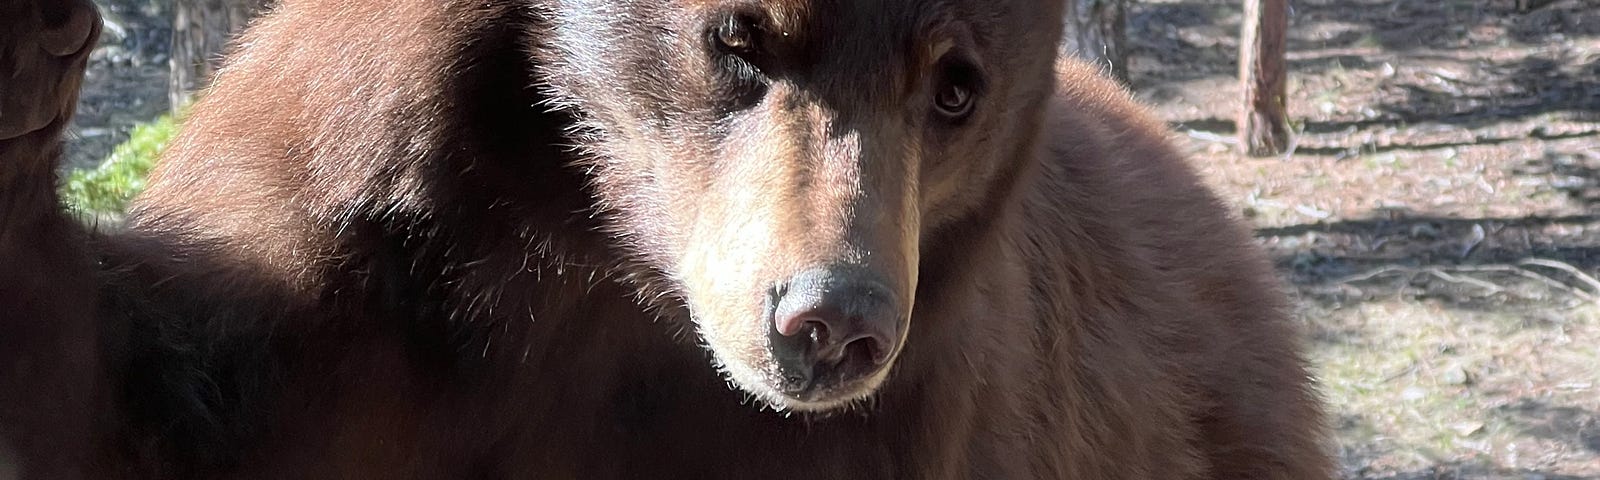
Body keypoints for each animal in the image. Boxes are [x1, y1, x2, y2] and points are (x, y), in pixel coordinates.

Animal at [0, 0, 1337, 476]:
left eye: (955, 87)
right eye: (738, 34)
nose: (829, 323)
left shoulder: (894, 428)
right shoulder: (367, 268)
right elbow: (172, 406)